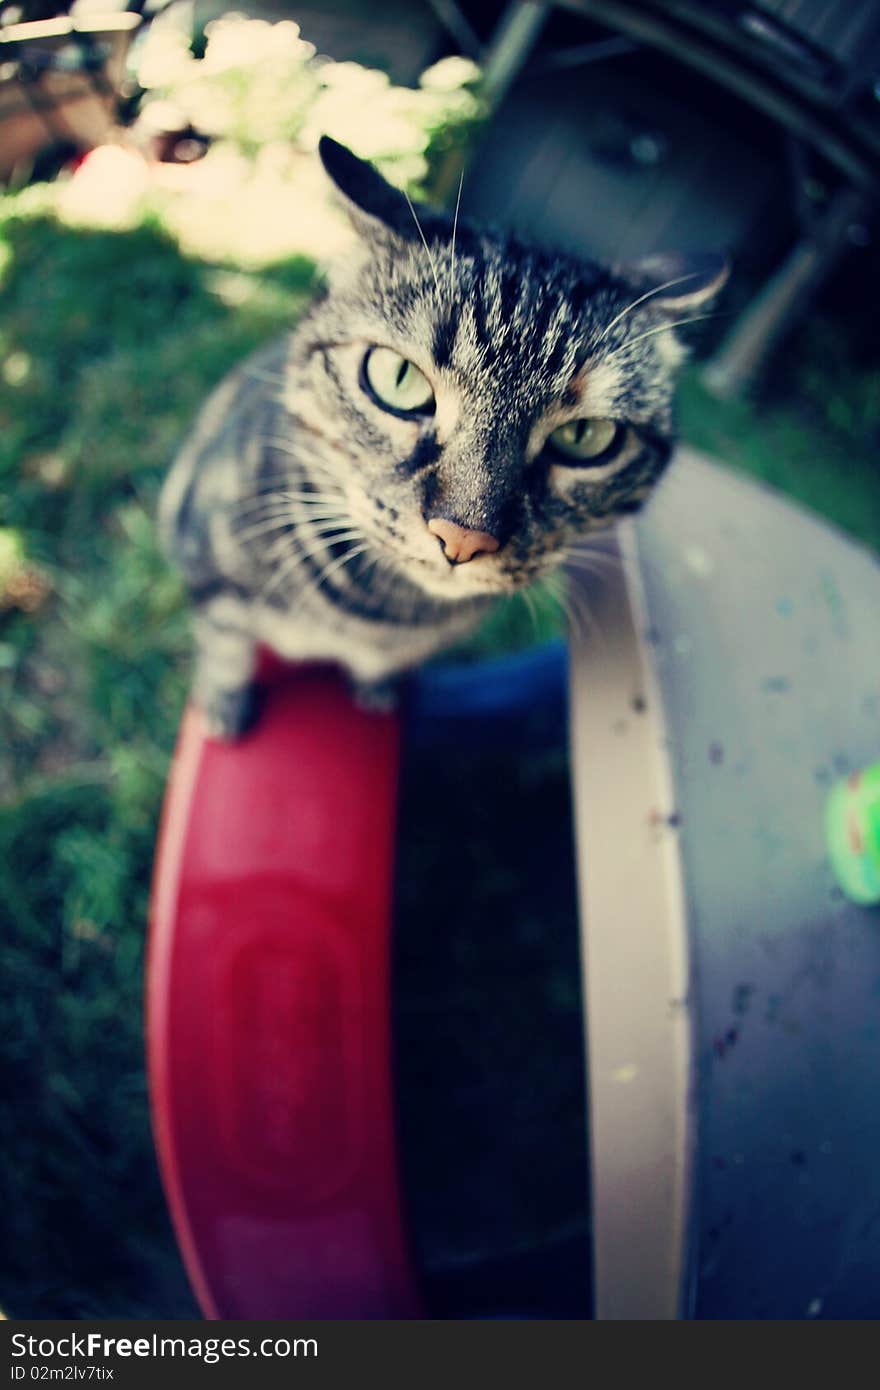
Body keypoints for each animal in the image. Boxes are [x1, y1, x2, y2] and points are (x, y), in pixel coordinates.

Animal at [159, 132, 728, 739]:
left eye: (584, 437)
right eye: (398, 379)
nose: (463, 538)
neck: (384, 618)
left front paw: (378, 687)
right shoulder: (210, 574)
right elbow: (225, 648)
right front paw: (224, 705)